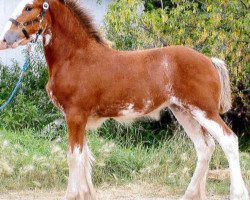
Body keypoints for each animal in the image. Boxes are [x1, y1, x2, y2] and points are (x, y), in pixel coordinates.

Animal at [0, 0, 249, 200]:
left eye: (28, 7)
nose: (5, 39)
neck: (76, 57)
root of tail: (210, 60)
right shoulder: (80, 119)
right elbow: (85, 158)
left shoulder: (75, 116)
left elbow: (74, 157)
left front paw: (71, 195)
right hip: (183, 111)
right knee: (204, 147)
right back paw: (190, 194)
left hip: (204, 111)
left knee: (228, 140)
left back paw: (237, 193)